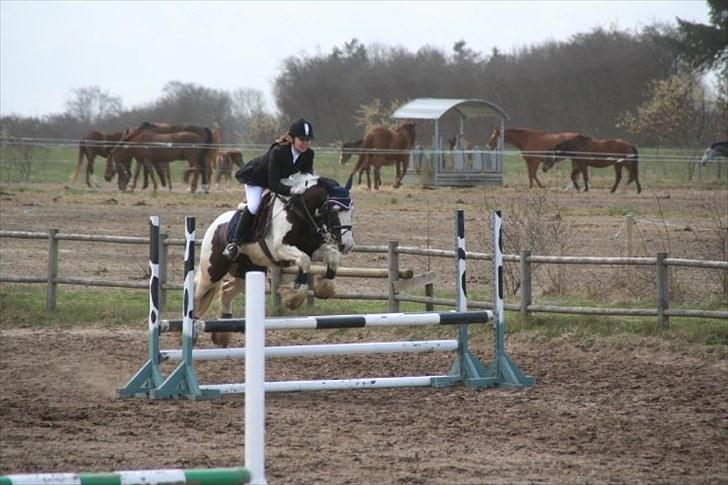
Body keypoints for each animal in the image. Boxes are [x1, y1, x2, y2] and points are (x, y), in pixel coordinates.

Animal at [193, 174, 352, 348]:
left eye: (351, 209)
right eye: (334, 210)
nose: (347, 245)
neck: (301, 213)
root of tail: (214, 225)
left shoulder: (314, 249)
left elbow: (333, 257)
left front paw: (324, 288)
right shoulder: (280, 250)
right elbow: (304, 260)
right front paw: (294, 297)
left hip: (247, 270)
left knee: (226, 291)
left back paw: (222, 334)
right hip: (213, 271)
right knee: (196, 295)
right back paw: (192, 330)